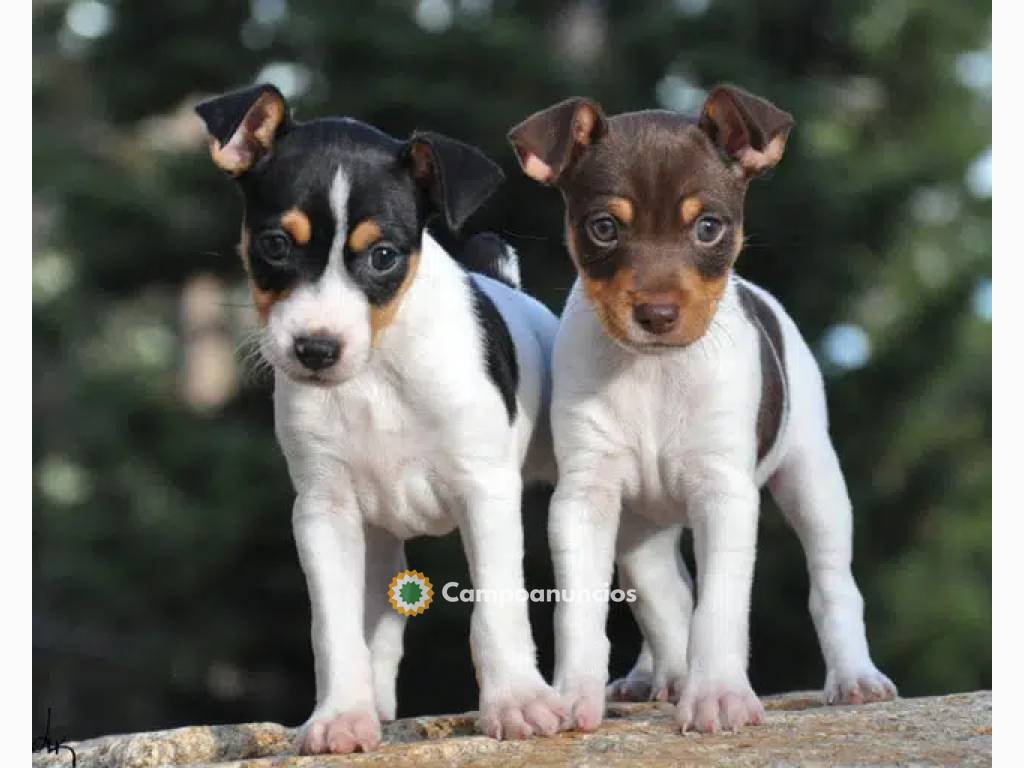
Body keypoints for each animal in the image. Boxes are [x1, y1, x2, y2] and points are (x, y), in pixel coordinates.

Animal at [195, 85, 565, 757]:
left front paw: (518, 703)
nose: (316, 349)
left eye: (383, 256)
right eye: (275, 245)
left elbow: (496, 612)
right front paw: (341, 716)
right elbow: (336, 628)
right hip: (381, 537)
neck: (377, 374)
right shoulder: (324, 511)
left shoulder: (485, 493)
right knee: (382, 632)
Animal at [512, 85, 897, 741]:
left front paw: (716, 694)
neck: (653, 373)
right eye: (603, 227)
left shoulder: (724, 493)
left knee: (831, 583)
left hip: (813, 479)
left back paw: (855, 678)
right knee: (661, 595)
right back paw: (655, 675)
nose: (657, 315)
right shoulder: (587, 497)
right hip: (642, 524)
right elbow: (590, 610)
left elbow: (718, 605)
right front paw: (571, 698)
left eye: (709, 226)